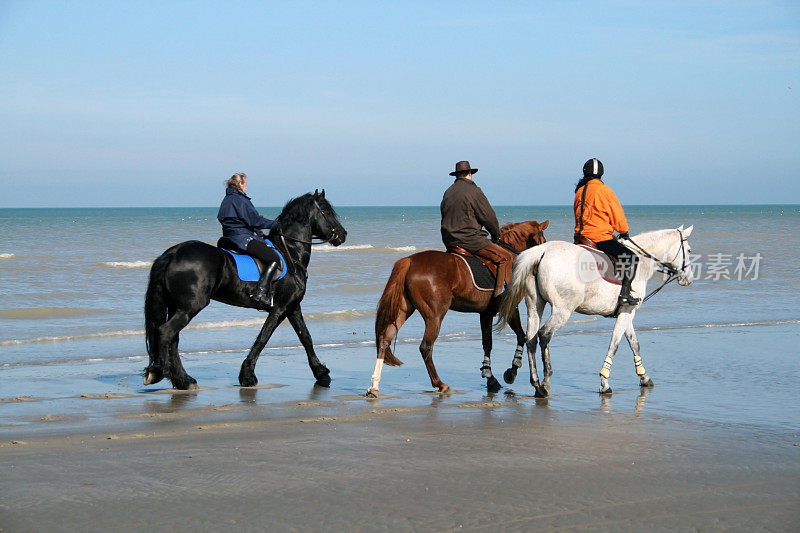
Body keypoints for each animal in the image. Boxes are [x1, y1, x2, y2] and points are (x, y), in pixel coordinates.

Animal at [143, 189, 346, 388]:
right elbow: (263, 337)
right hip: (189, 308)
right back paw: (162, 374)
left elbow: (305, 337)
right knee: (166, 332)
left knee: (173, 339)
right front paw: (247, 376)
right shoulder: (280, 308)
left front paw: (321, 373)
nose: (343, 234)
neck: (291, 253)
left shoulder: (293, 306)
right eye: (326, 211)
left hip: (177, 307)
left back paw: (183, 380)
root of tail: (173, 253)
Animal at [366, 218, 548, 396]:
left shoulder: (486, 313)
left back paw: (374, 385)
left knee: (385, 339)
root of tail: (409, 261)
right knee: (425, 347)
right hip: (435, 315)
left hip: (404, 310)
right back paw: (440, 383)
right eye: (544, 240)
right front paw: (512, 371)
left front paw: (490, 377)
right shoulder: (510, 308)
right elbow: (521, 336)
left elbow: (487, 344)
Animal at [496, 224, 692, 394]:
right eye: (689, 251)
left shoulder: (626, 311)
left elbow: (634, 344)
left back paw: (536, 382)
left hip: (535, 305)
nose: (688, 278)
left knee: (530, 338)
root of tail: (542, 251)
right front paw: (604, 382)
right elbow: (615, 344)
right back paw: (545, 382)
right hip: (562, 310)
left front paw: (644, 377)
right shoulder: (628, 310)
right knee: (544, 335)